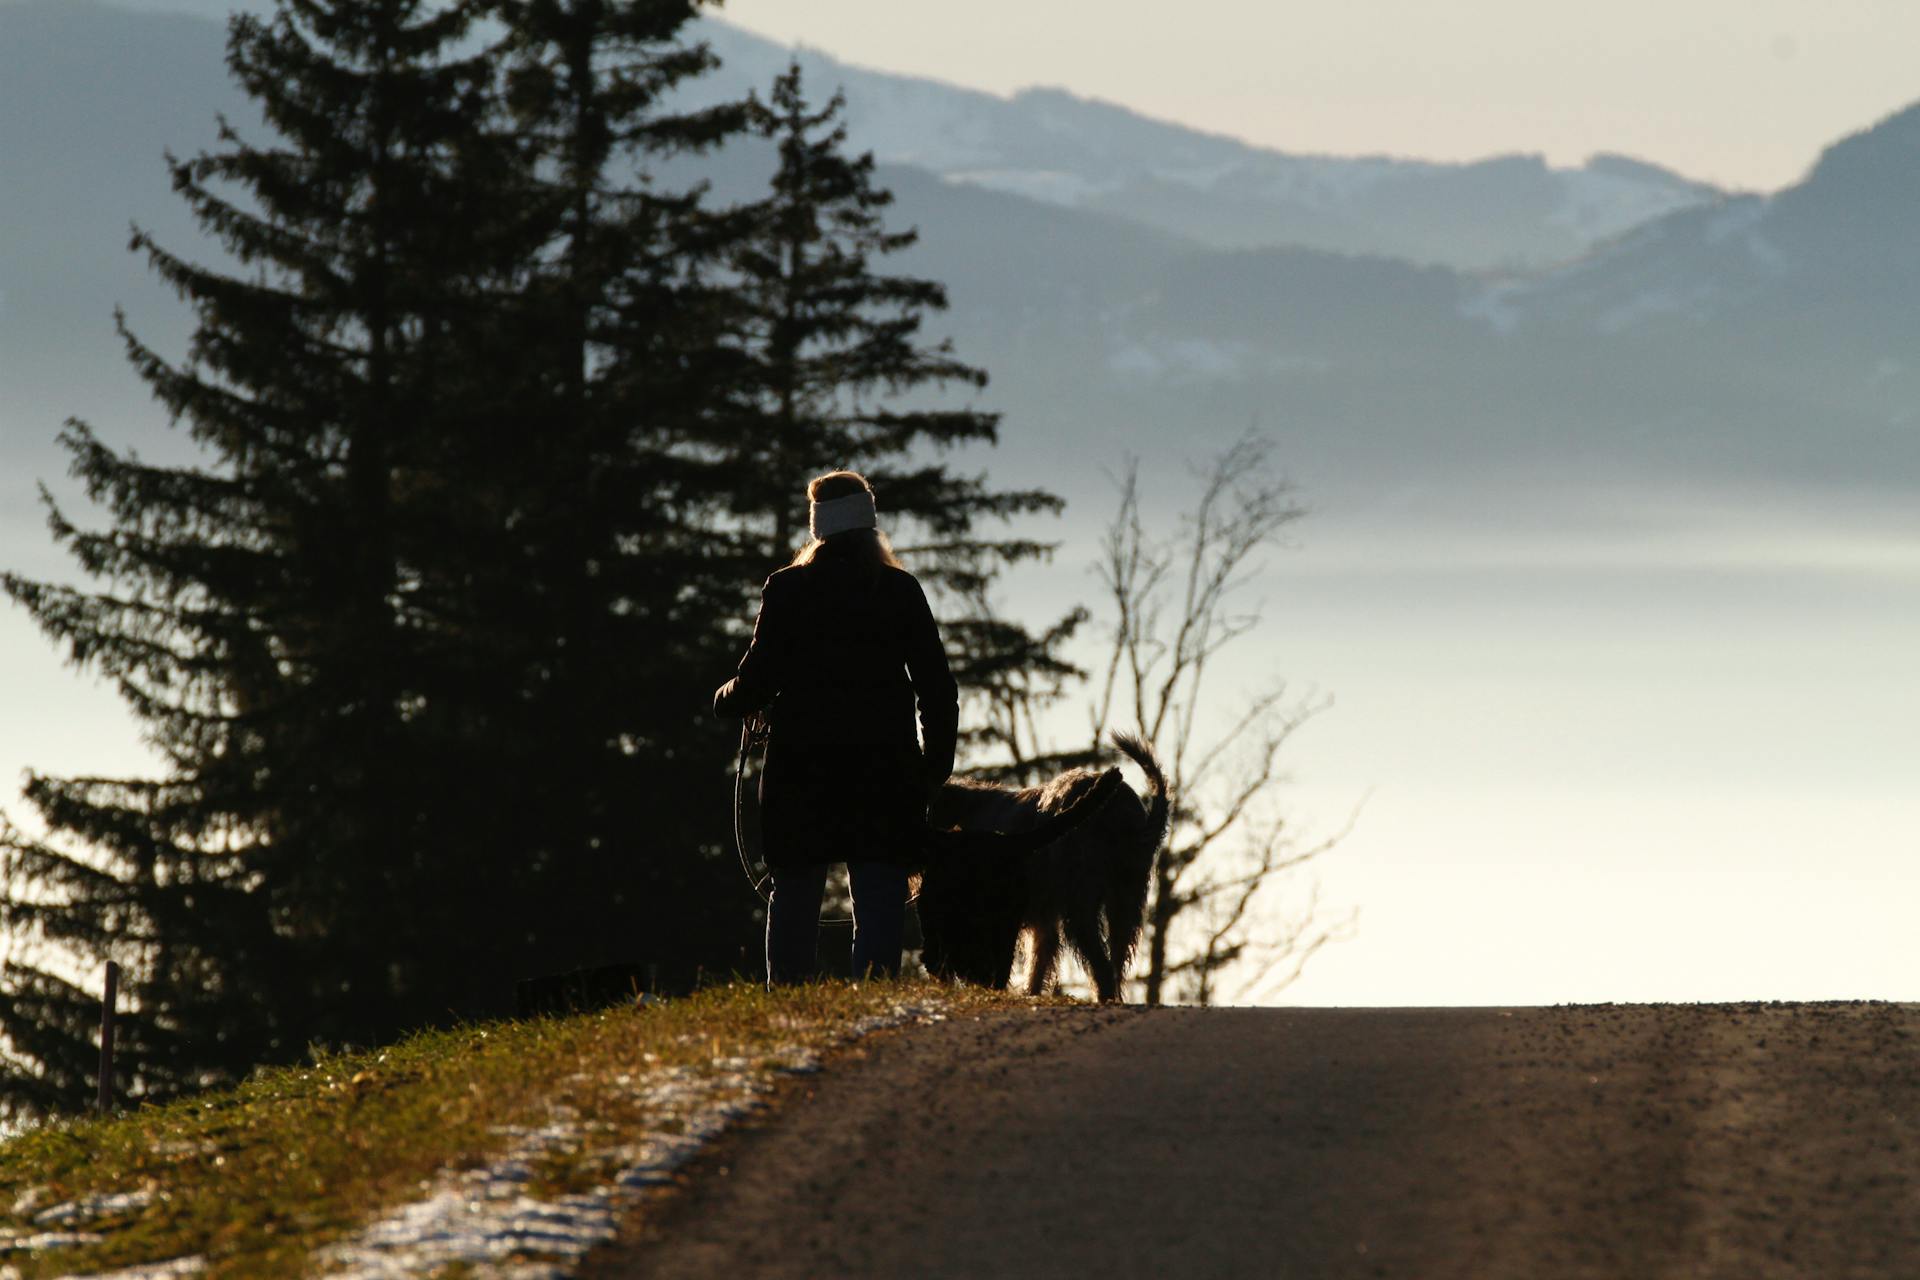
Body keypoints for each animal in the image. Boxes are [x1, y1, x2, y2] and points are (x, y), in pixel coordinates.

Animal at [917, 736, 1167, 1005]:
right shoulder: (1040, 919)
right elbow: (1038, 960)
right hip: (1124, 901)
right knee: (1116, 961)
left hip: (1080, 906)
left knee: (1100, 964)